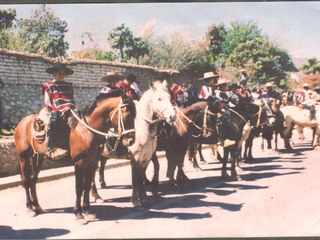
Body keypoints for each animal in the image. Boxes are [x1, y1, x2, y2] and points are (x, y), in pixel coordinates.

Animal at [15, 94, 136, 225]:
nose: (131, 140)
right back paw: (30, 208)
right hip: (23, 157)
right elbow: (79, 188)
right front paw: (78, 214)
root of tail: (23, 122)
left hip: (38, 157)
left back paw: (37, 206)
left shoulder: (92, 162)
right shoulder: (79, 163)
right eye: (127, 116)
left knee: (33, 179)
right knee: (26, 181)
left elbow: (87, 186)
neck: (87, 130)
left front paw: (88, 211)